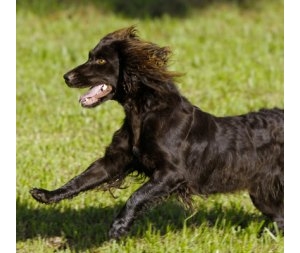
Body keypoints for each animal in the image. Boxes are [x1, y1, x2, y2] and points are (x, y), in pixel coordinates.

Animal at [30, 26, 284, 239]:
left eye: (101, 59)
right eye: (90, 55)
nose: (66, 77)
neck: (143, 114)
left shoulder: (172, 173)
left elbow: (136, 196)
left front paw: (118, 227)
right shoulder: (115, 160)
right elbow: (81, 179)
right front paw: (46, 194)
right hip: (263, 194)